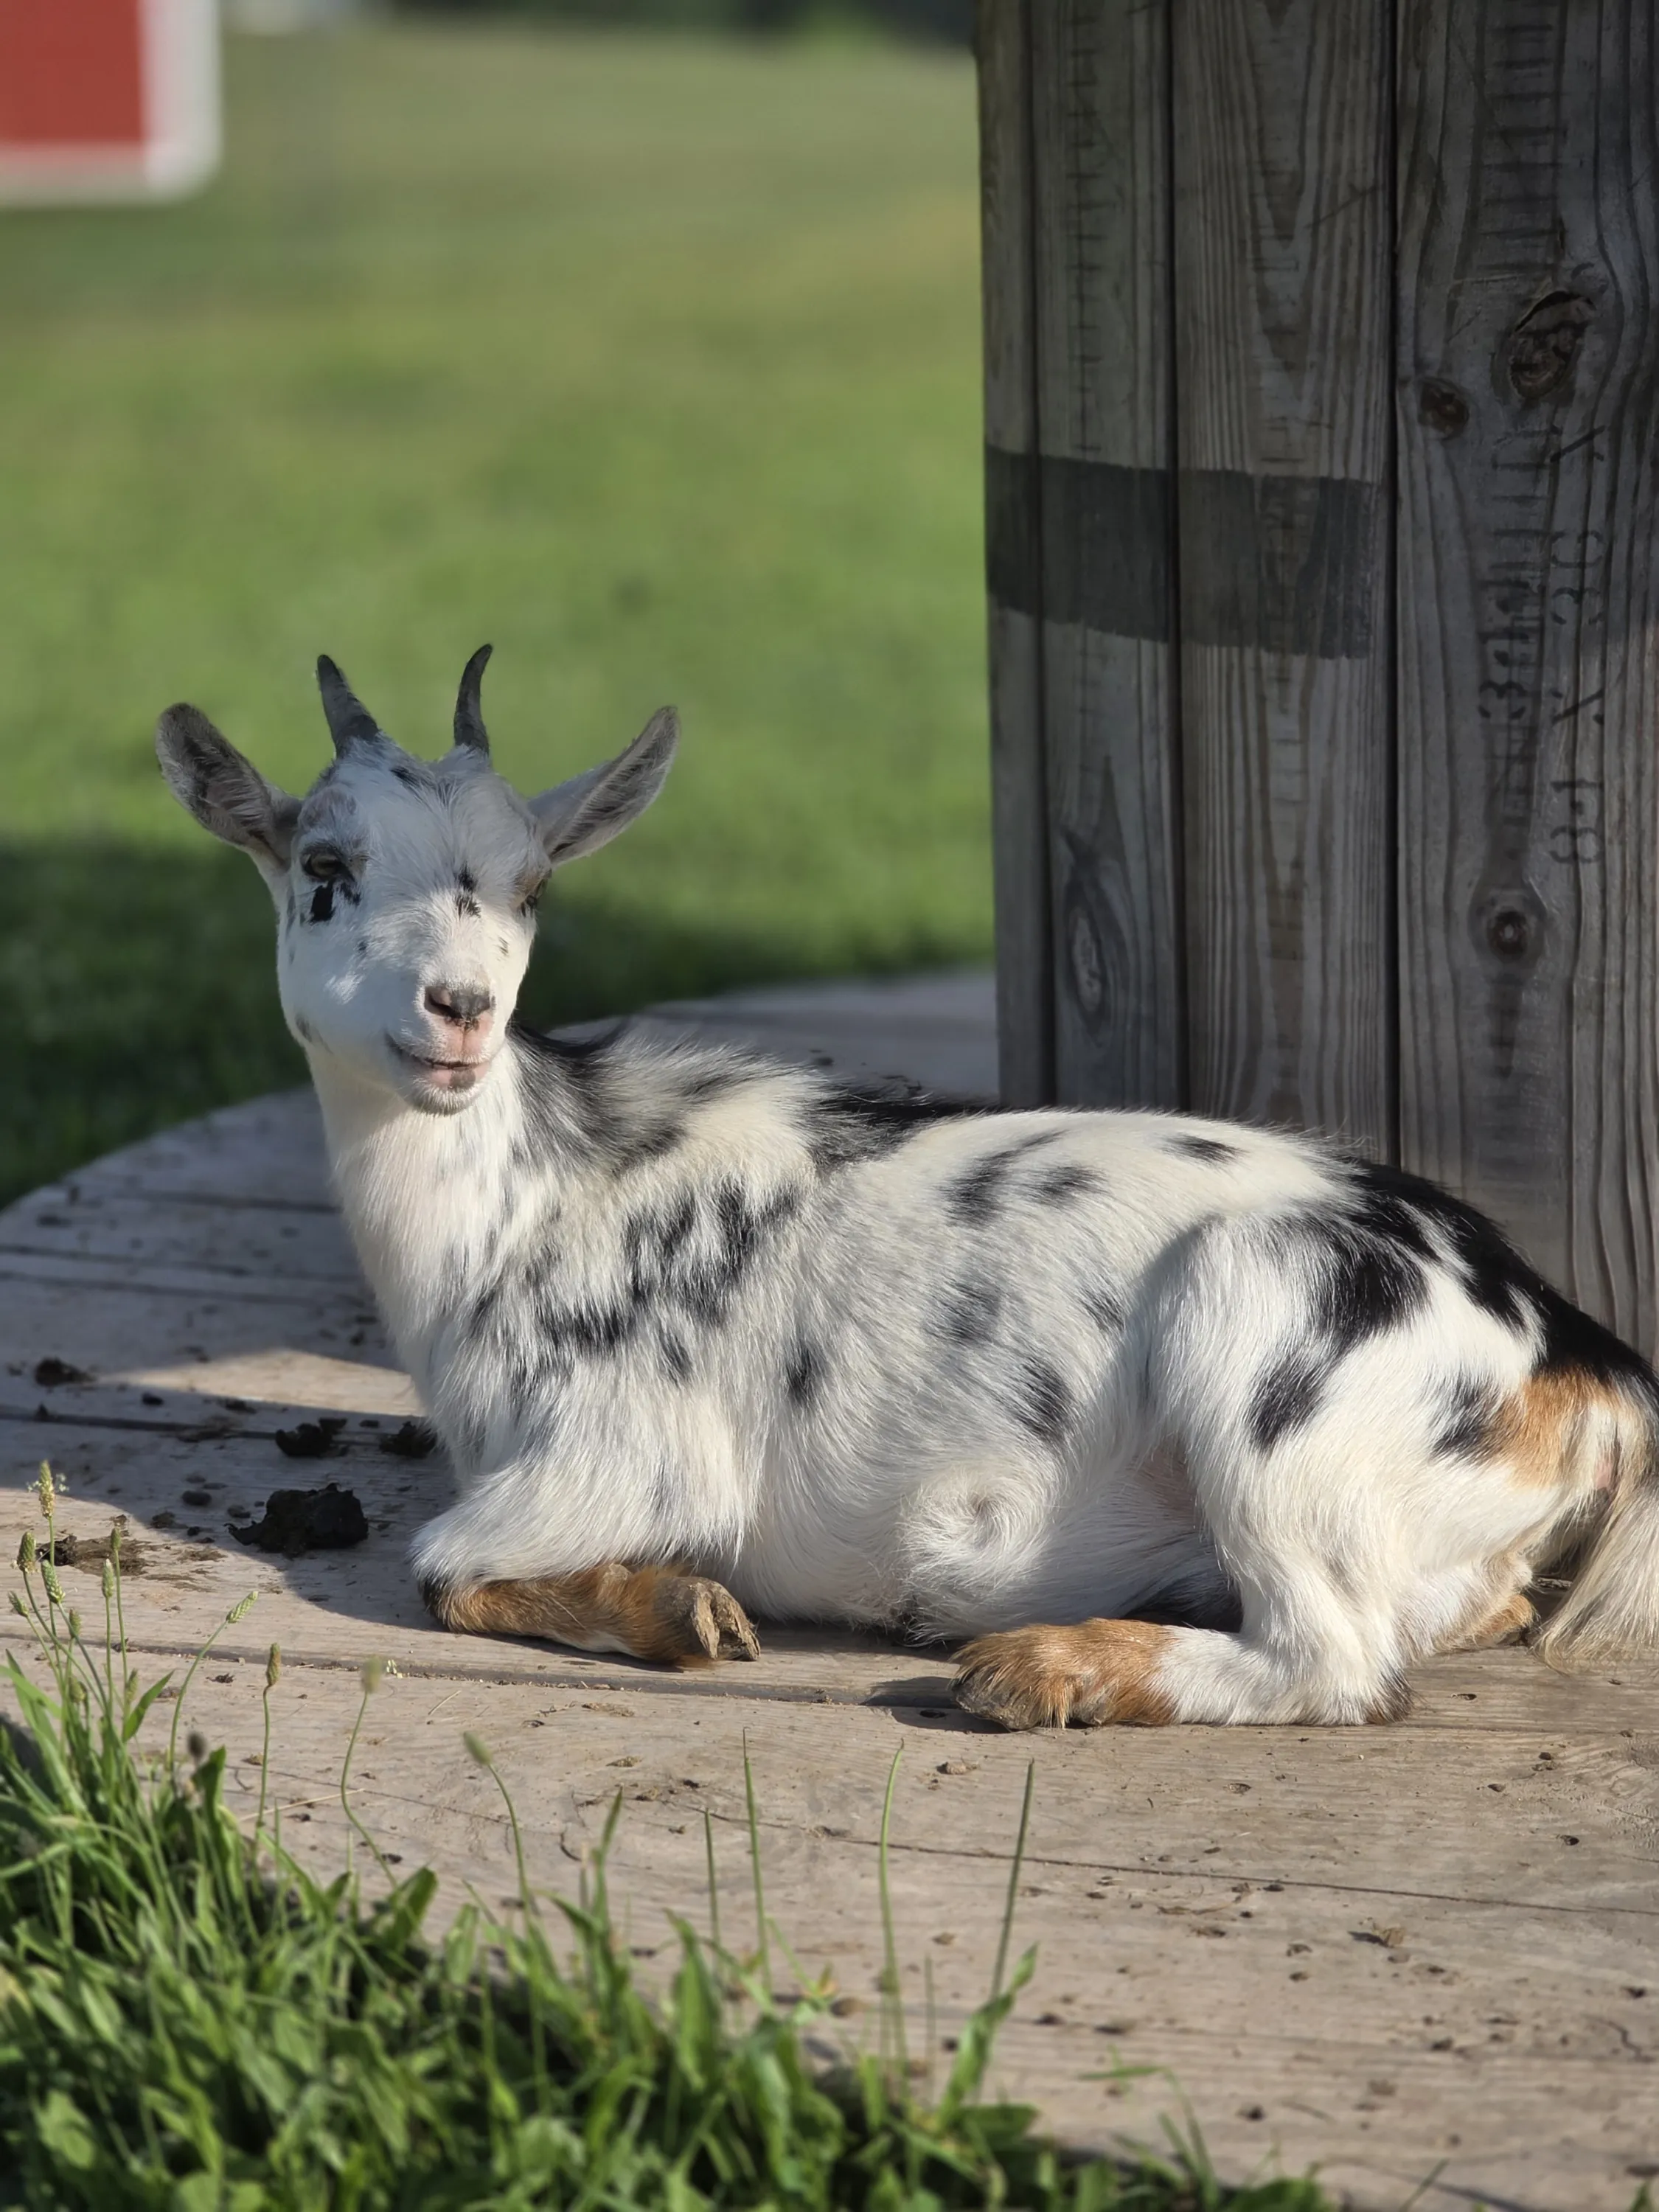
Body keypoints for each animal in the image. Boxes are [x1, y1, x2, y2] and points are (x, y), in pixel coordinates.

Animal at [154, 651, 1659, 1727]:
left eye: (529, 887)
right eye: (323, 870)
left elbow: (442, 1565)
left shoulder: (628, 1450)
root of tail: (1583, 1371)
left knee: (1333, 1657)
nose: (460, 1010)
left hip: (1266, 1358)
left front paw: (681, 1613)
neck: (532, 1205)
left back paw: (1037, 1669)